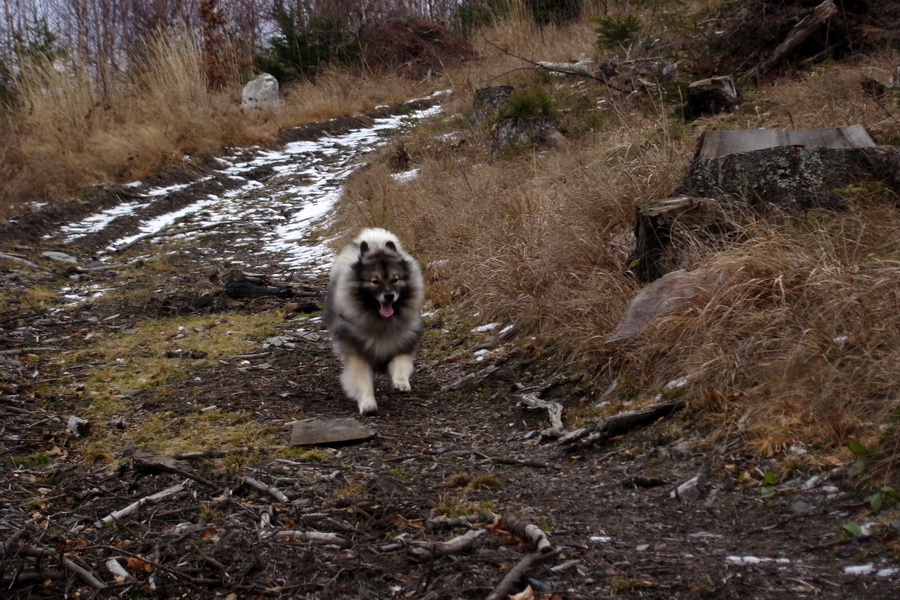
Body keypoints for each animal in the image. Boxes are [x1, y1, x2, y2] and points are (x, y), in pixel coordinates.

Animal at [324, 227, 426, 414]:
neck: (380, 321)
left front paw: (401, 382)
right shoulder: (358, 354)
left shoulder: (401, 343)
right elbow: (362, 380)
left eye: (395, 279)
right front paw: (367, 404)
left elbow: (401, 363)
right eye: (375, 281)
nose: (389, 296)